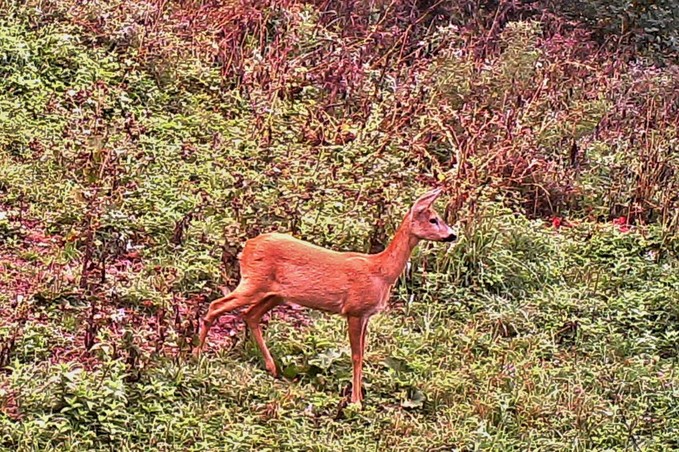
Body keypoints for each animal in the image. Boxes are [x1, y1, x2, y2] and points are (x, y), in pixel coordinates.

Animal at [194, 187, 456, 406]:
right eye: (433, 219)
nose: (452, 235)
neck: (380, 272)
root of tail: (247, 247)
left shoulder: (367, 315)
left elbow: (362, 354)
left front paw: (359, 397)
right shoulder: (354, 310)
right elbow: (356, 355)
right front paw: (356, 401)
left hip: (276, 294)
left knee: (250, 315)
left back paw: (272, 368)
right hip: (253, 282)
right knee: (217, 305)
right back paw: (196, 354)